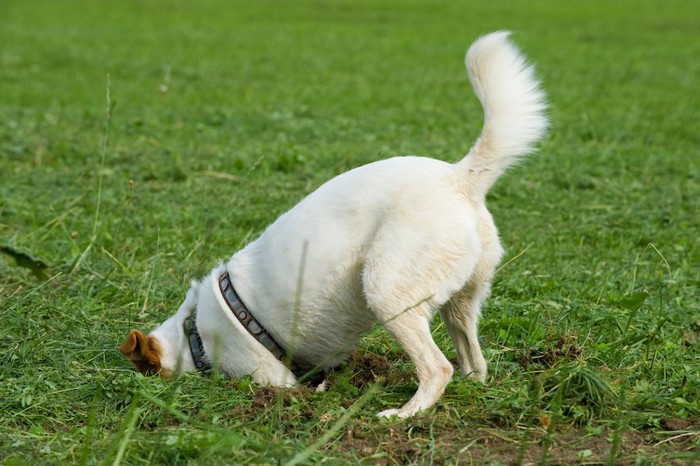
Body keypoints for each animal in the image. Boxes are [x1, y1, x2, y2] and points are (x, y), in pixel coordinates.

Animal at [120, 32, 548, 418]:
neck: (193, 333)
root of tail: (460, 176)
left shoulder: (272, 376)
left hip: (386, 292)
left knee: (437, 368)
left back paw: (403, 414)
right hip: (460, 304)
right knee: (474, 362)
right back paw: (470, 389)